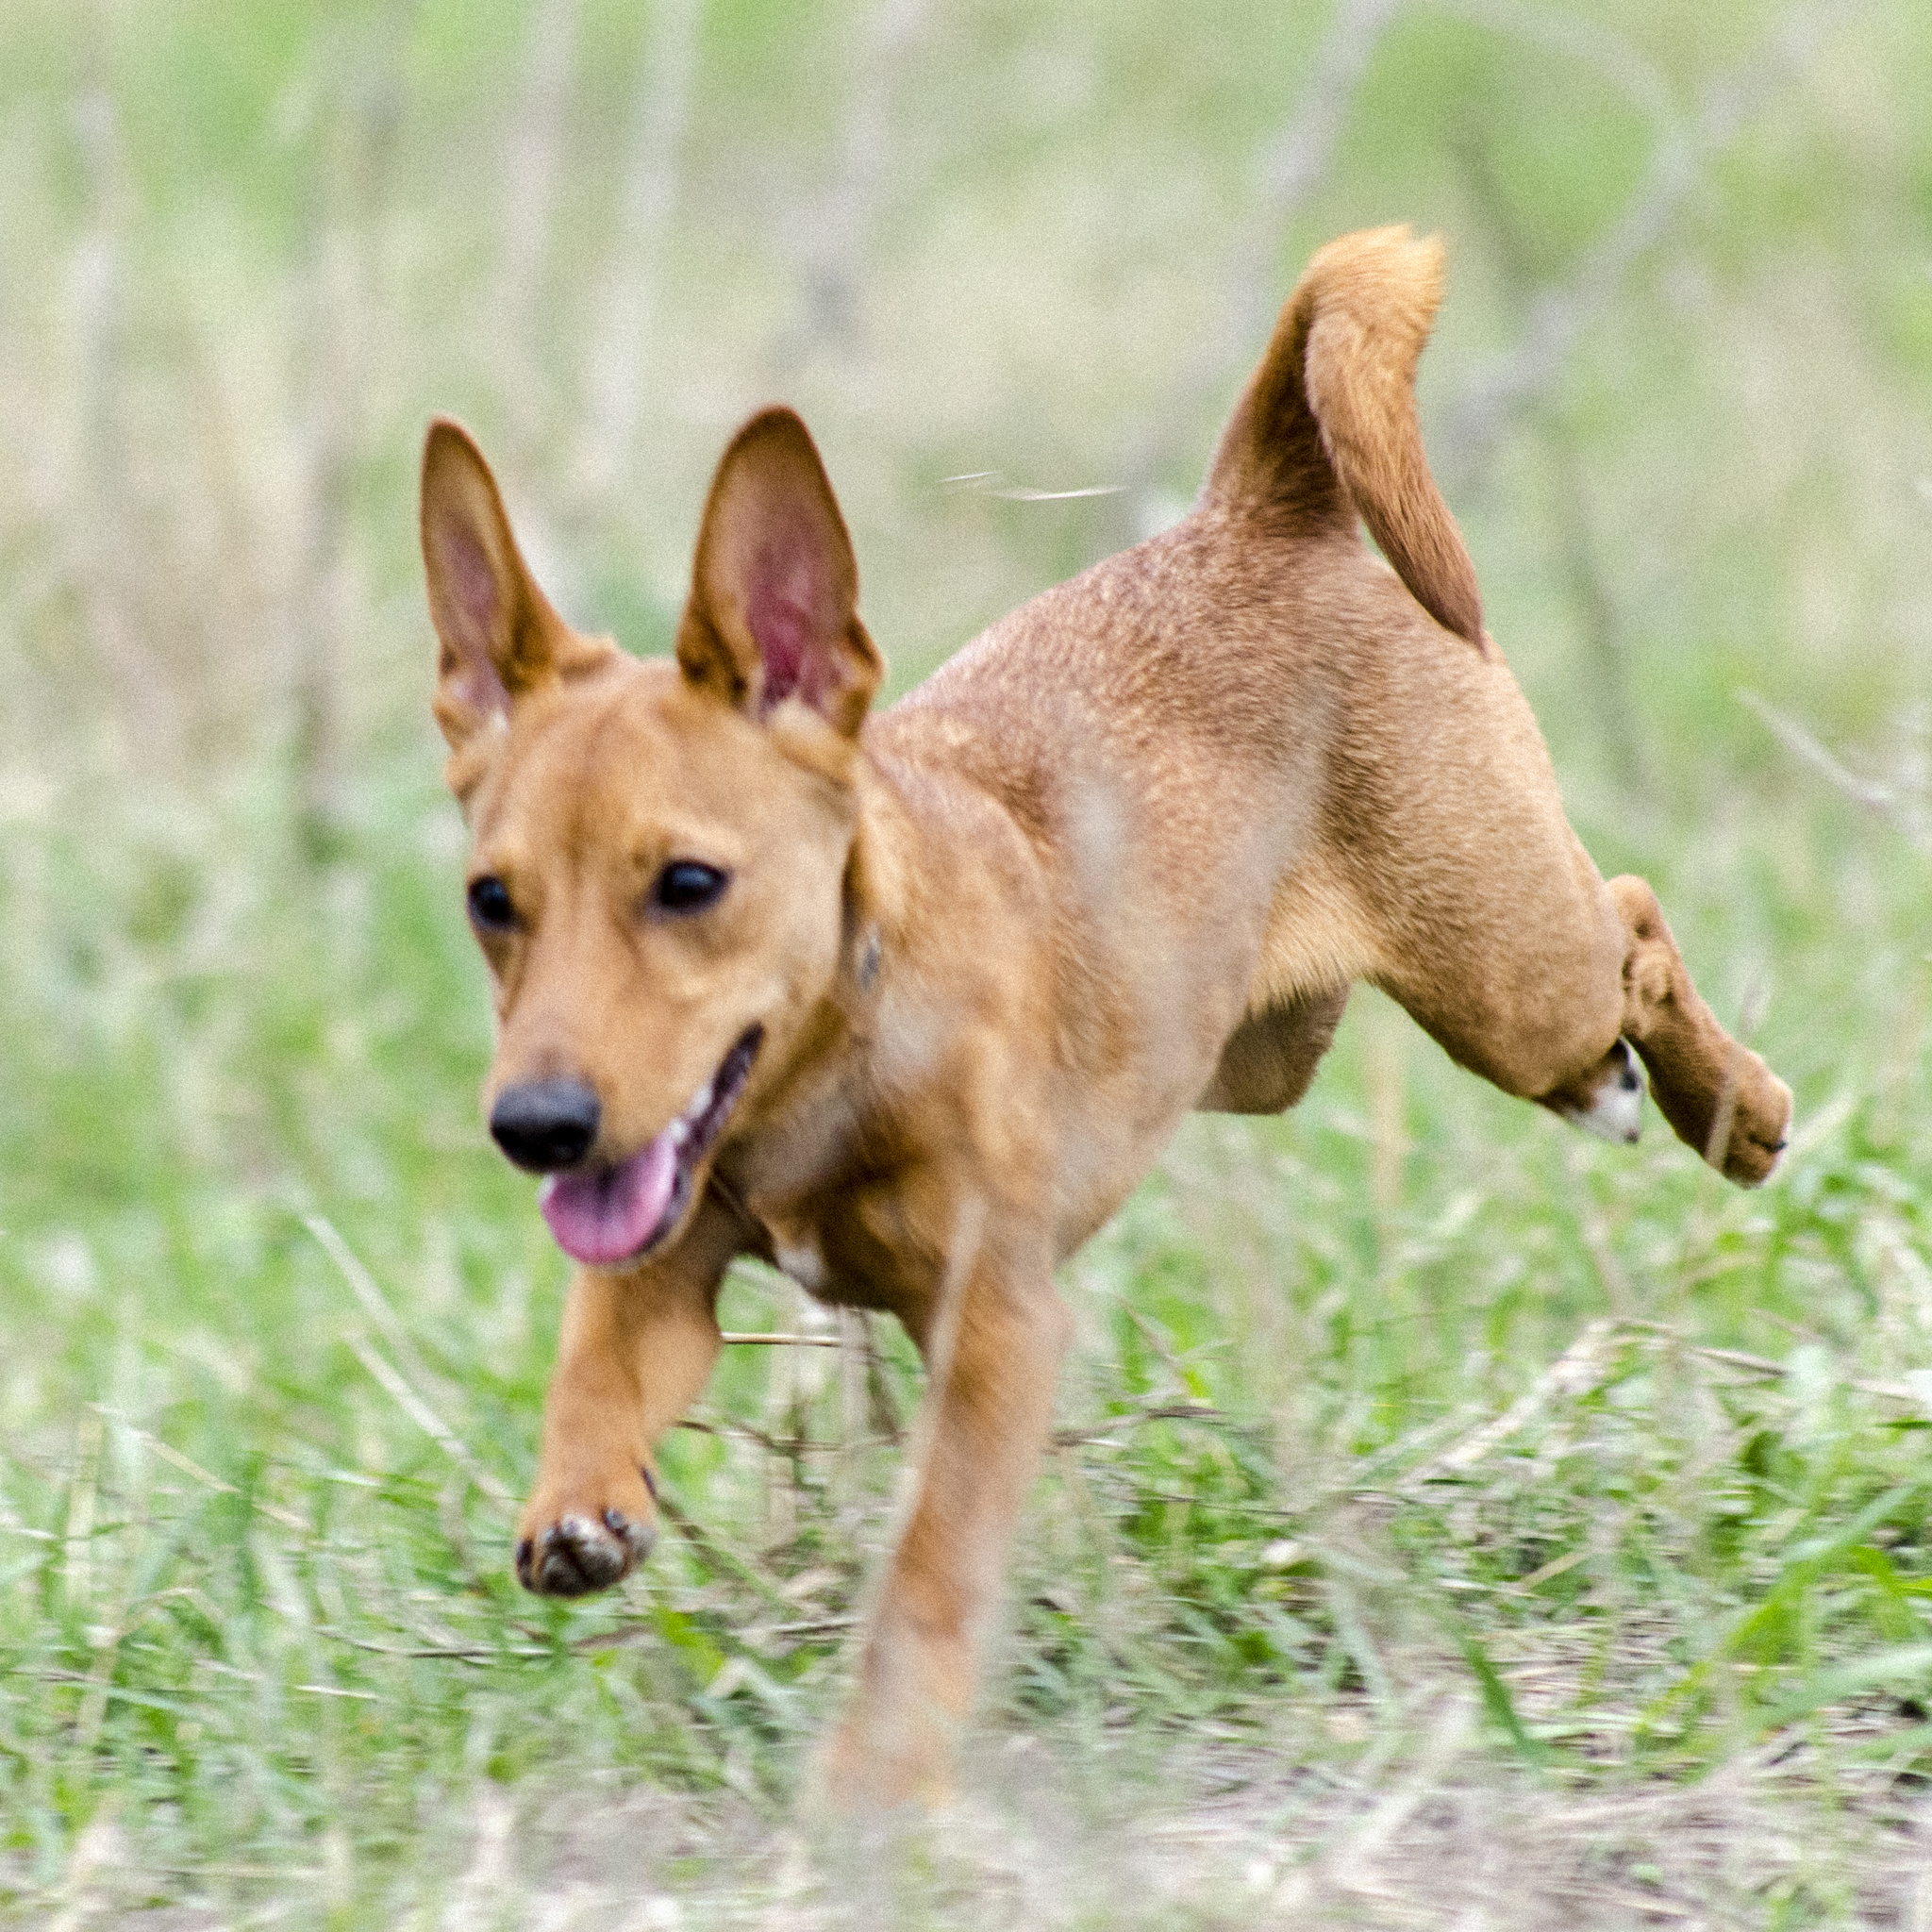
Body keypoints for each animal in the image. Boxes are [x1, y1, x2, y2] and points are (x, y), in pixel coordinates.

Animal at [423, 229, 1792, 1807]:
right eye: (491, 901)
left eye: (690, 884)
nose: (535, 1128)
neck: (836, 1062)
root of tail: (1263, 506)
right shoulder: (660, 1262)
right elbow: (593, 1360)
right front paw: (579, 1501)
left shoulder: (998, 1332)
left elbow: (931, 1568)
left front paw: (877, 1784)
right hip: (1257, 1045)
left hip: (1508, 978)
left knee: (1629, 924)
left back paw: (1732, 1109)